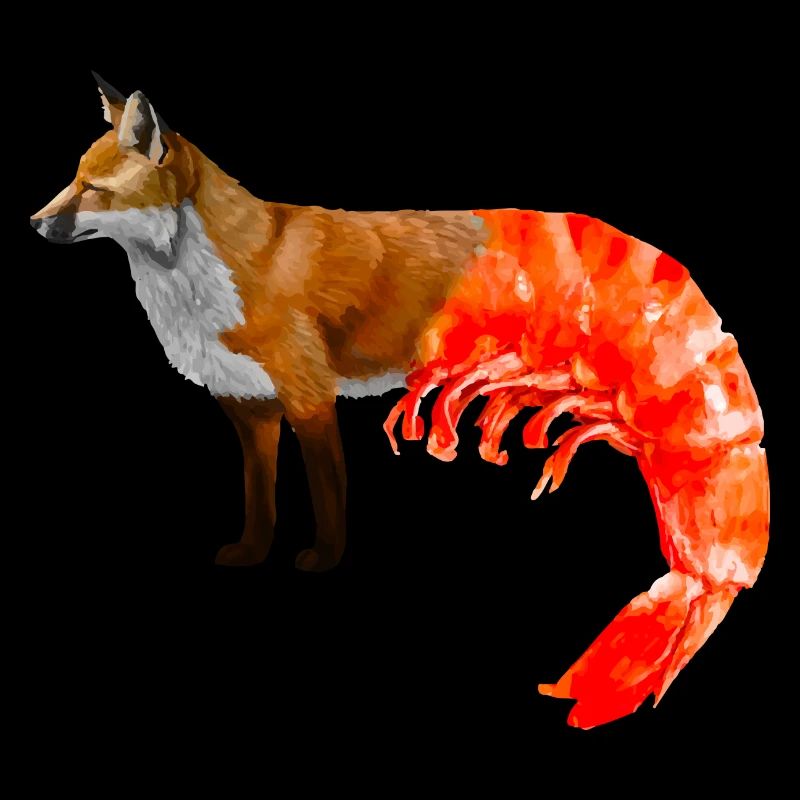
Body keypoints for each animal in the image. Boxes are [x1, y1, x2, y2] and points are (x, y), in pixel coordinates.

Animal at [32, 74, 768, 729]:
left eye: (93, 189)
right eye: (73, 177)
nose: (34, 223)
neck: (205, 285)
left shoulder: (309, 398)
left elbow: (328, 497)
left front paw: (323, 561)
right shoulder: (249, 408)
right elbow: (260, 499)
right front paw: (251, 552)